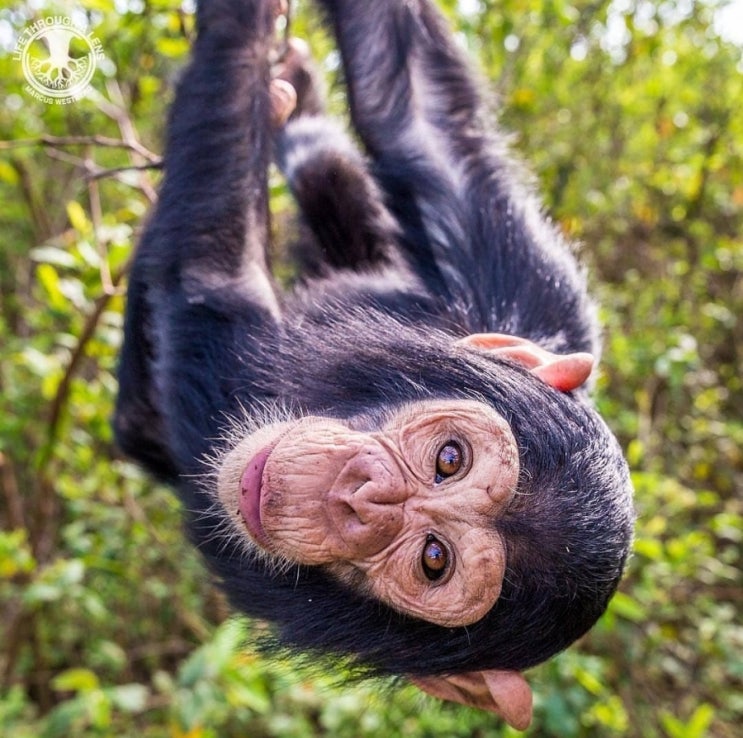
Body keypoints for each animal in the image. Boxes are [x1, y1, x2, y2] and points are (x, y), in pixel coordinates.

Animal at [115, 0, 632, 724]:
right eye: (450, 458)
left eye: (433, 560)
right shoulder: (534, 298)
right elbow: (416, 111)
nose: (359, 495)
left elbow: (210, 276)